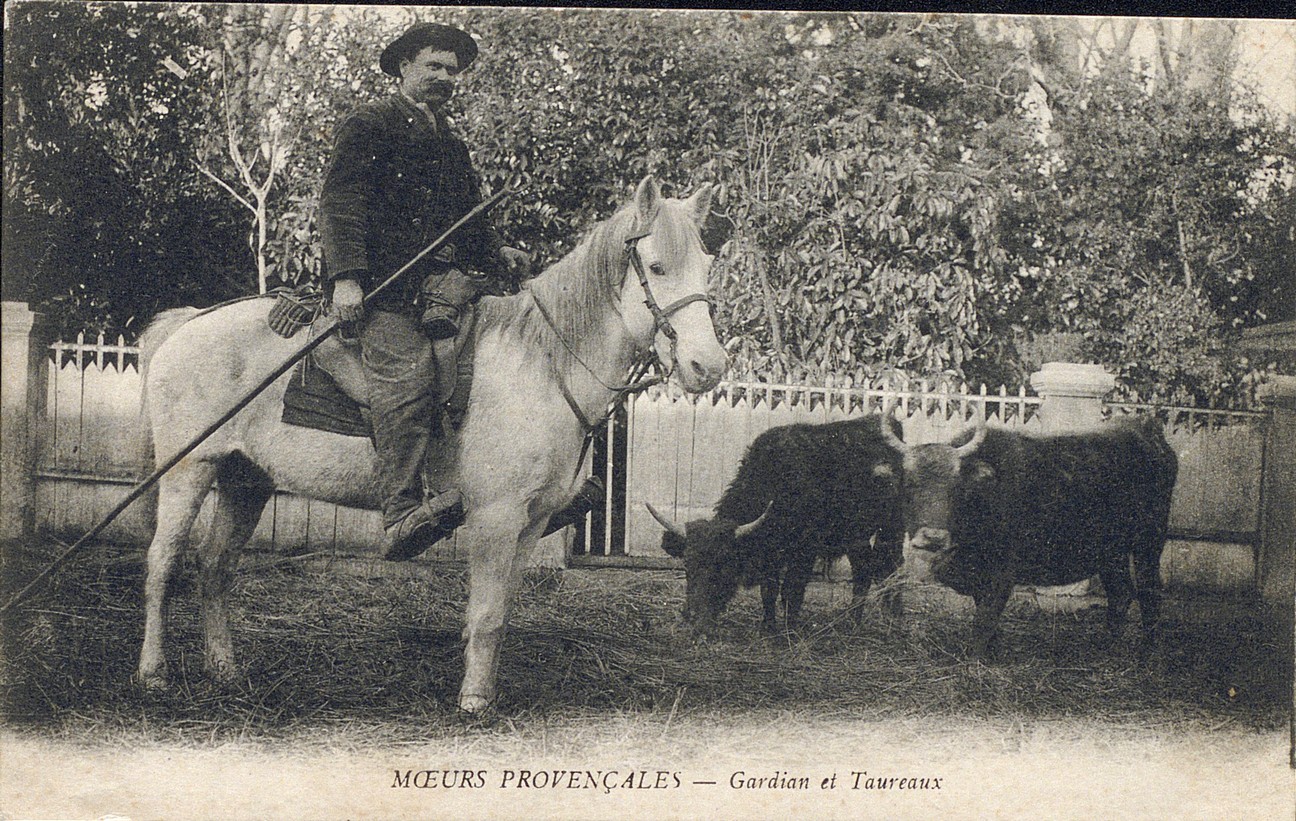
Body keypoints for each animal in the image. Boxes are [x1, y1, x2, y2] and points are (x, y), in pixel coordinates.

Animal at [135, 176, 727, 713]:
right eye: (656, 268)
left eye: (706, 269)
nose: (709, 367)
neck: (542, 363)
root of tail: (186, 324)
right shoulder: (496, 515)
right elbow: (486, 613)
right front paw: (473, 702)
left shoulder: (533, 520)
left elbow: (500, 611)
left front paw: (484, 687)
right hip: (189, 471)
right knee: (163, 563)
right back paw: (153, 673)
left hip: (246, 479)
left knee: (214, 567)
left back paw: (224, 670)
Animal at [646, 413, 906, 638]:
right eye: (687, 564)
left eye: (724, 563)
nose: (692, 615)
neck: (775, 482)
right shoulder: (770, 558)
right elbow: (768, 590)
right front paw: (768, 627)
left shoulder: (803, 554)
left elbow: (791, 590)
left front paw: (790, 630)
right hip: (856, 537)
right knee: (863, 572)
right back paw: (852, 622)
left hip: (891, 530)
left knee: (893, 567)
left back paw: (893, 622)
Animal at [884, 414, 1178, 657]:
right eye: (910, 485)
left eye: (958, 489)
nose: (933, 538)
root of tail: (1149, 432)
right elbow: (985, 616)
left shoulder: (1002, 575)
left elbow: (984, 620)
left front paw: (975, 662)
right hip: (1110, 553)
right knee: (1121, 594)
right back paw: (1107, 645)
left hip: (1149, 543)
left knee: (1149, 591)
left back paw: (1147, 649)